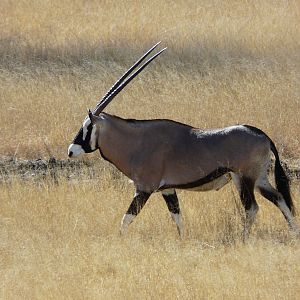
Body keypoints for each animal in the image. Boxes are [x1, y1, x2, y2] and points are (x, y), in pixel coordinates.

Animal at [68, 42, 298, 239]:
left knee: (252, 208)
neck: (136, 142)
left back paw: (243, 239)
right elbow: (177, 217)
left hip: (244, 178)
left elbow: (126, 218)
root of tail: (264, 136)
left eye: (87, 127)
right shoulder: (167, 189)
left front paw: (119, 240)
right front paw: (183, 240)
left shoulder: (144, 188)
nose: (71, 150)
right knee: (279, 198)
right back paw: (294, 233)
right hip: (259, 178)